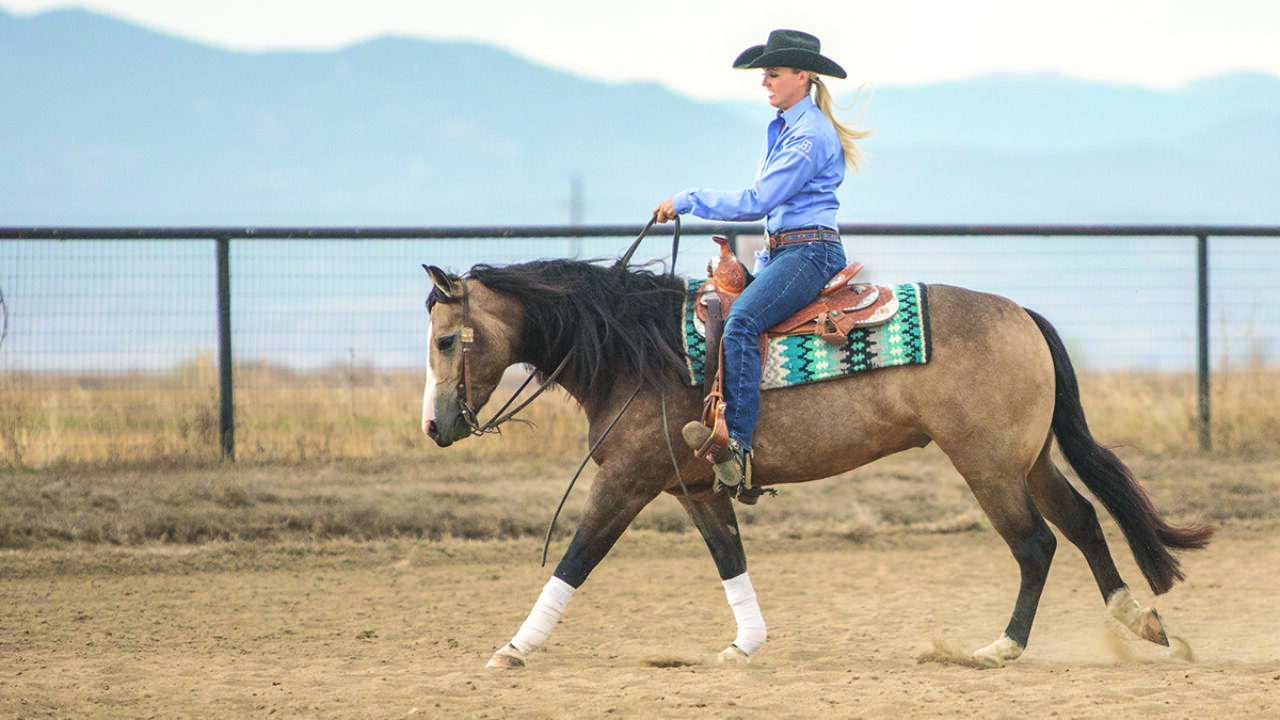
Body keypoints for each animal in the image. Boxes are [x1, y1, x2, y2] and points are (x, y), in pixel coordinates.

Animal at [419, 245, 1208, 666]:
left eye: (448, 339)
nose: (435, 427)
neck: (638, 351)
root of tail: (1022, 315)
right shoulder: (696, 488)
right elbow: (729, 559)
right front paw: (745, 644)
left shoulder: (625, 482)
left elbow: (576, 559)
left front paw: (514, 648)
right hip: (1029, 458)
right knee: (1081, 521)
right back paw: (1141, 621)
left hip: (987, 466)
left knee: (1037, 543)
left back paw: (1003, 647)